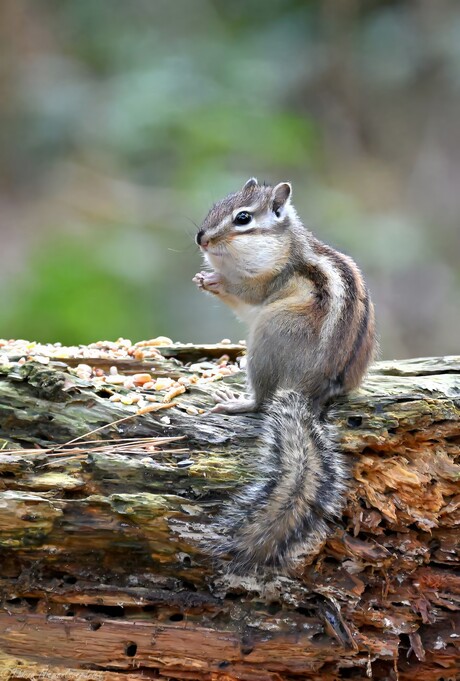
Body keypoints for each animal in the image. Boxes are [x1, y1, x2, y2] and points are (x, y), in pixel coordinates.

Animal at [193, 178, 376, 573]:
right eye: (216, 206)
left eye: (243, 218)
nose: (201, 239)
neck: (283, 244)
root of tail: (311, 391)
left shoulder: (269, 281)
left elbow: (245, 294)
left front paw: (212, 279)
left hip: (267, 334)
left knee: (262, 401)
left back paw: (237, 402)